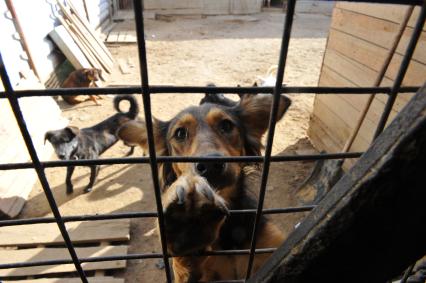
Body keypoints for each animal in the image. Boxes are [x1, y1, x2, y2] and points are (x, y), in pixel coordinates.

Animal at [116, 91, 292, 282]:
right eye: (180, 133)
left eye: (226, 125)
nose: (210, 164)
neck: (229, 231)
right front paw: (187, 225)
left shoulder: (271, 249)